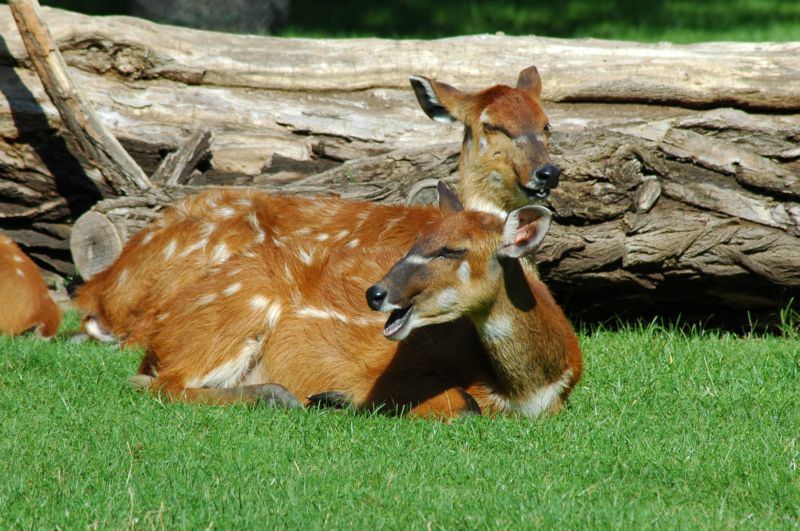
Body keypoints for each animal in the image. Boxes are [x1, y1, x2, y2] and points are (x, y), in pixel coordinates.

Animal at [131, 185, 580, 422]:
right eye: (416, 241)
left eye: (452, 250)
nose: (375, 293)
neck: (527, 390)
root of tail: (161, 334)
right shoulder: (391, 371)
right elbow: (463, 403)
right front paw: (335, 398)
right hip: (237, 312)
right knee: (164, 385)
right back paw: (283, 396)